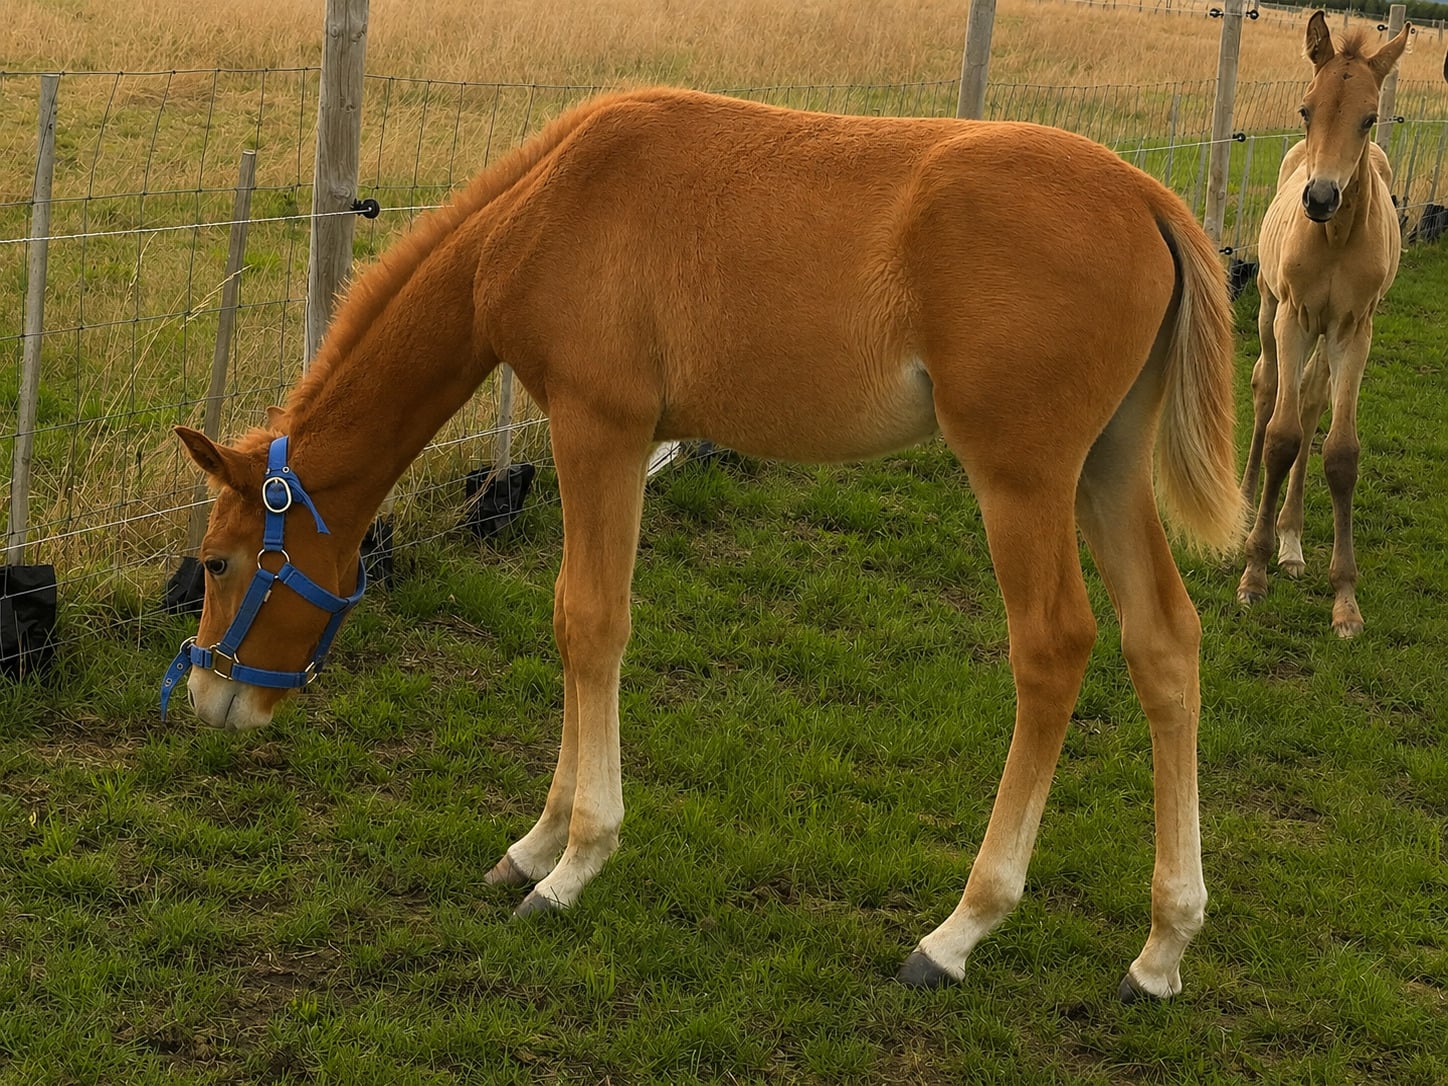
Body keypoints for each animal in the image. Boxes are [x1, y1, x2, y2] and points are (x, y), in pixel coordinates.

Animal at [159, 87, 1241, 999]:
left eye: (215, 563)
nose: (209, 697)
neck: (544, 210)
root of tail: (1148, 198)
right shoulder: (615, 439)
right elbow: (577, 620)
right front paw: (534, 842)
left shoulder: (597, 426)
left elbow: (589, 621)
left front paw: (572, 863)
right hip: (1106, 466)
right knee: (1164, 641)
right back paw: (1161, 949)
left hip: (1022, 477)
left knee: (1053, 648)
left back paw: (959, 931)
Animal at [1237, 13, 1411, 637]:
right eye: (1306, 109)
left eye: (1369, 117)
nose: (1319, 197)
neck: (1335, 237)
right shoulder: (1293, 316)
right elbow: (1282, 437)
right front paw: (1253, 573)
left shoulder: (1353, 329)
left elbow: (1338, 452)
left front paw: (1345, 600)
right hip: (1271, 311)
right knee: (1268, 391)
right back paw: (1248, 506)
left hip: (1324, 334)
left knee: (1311, 399)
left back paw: (1291, 543)